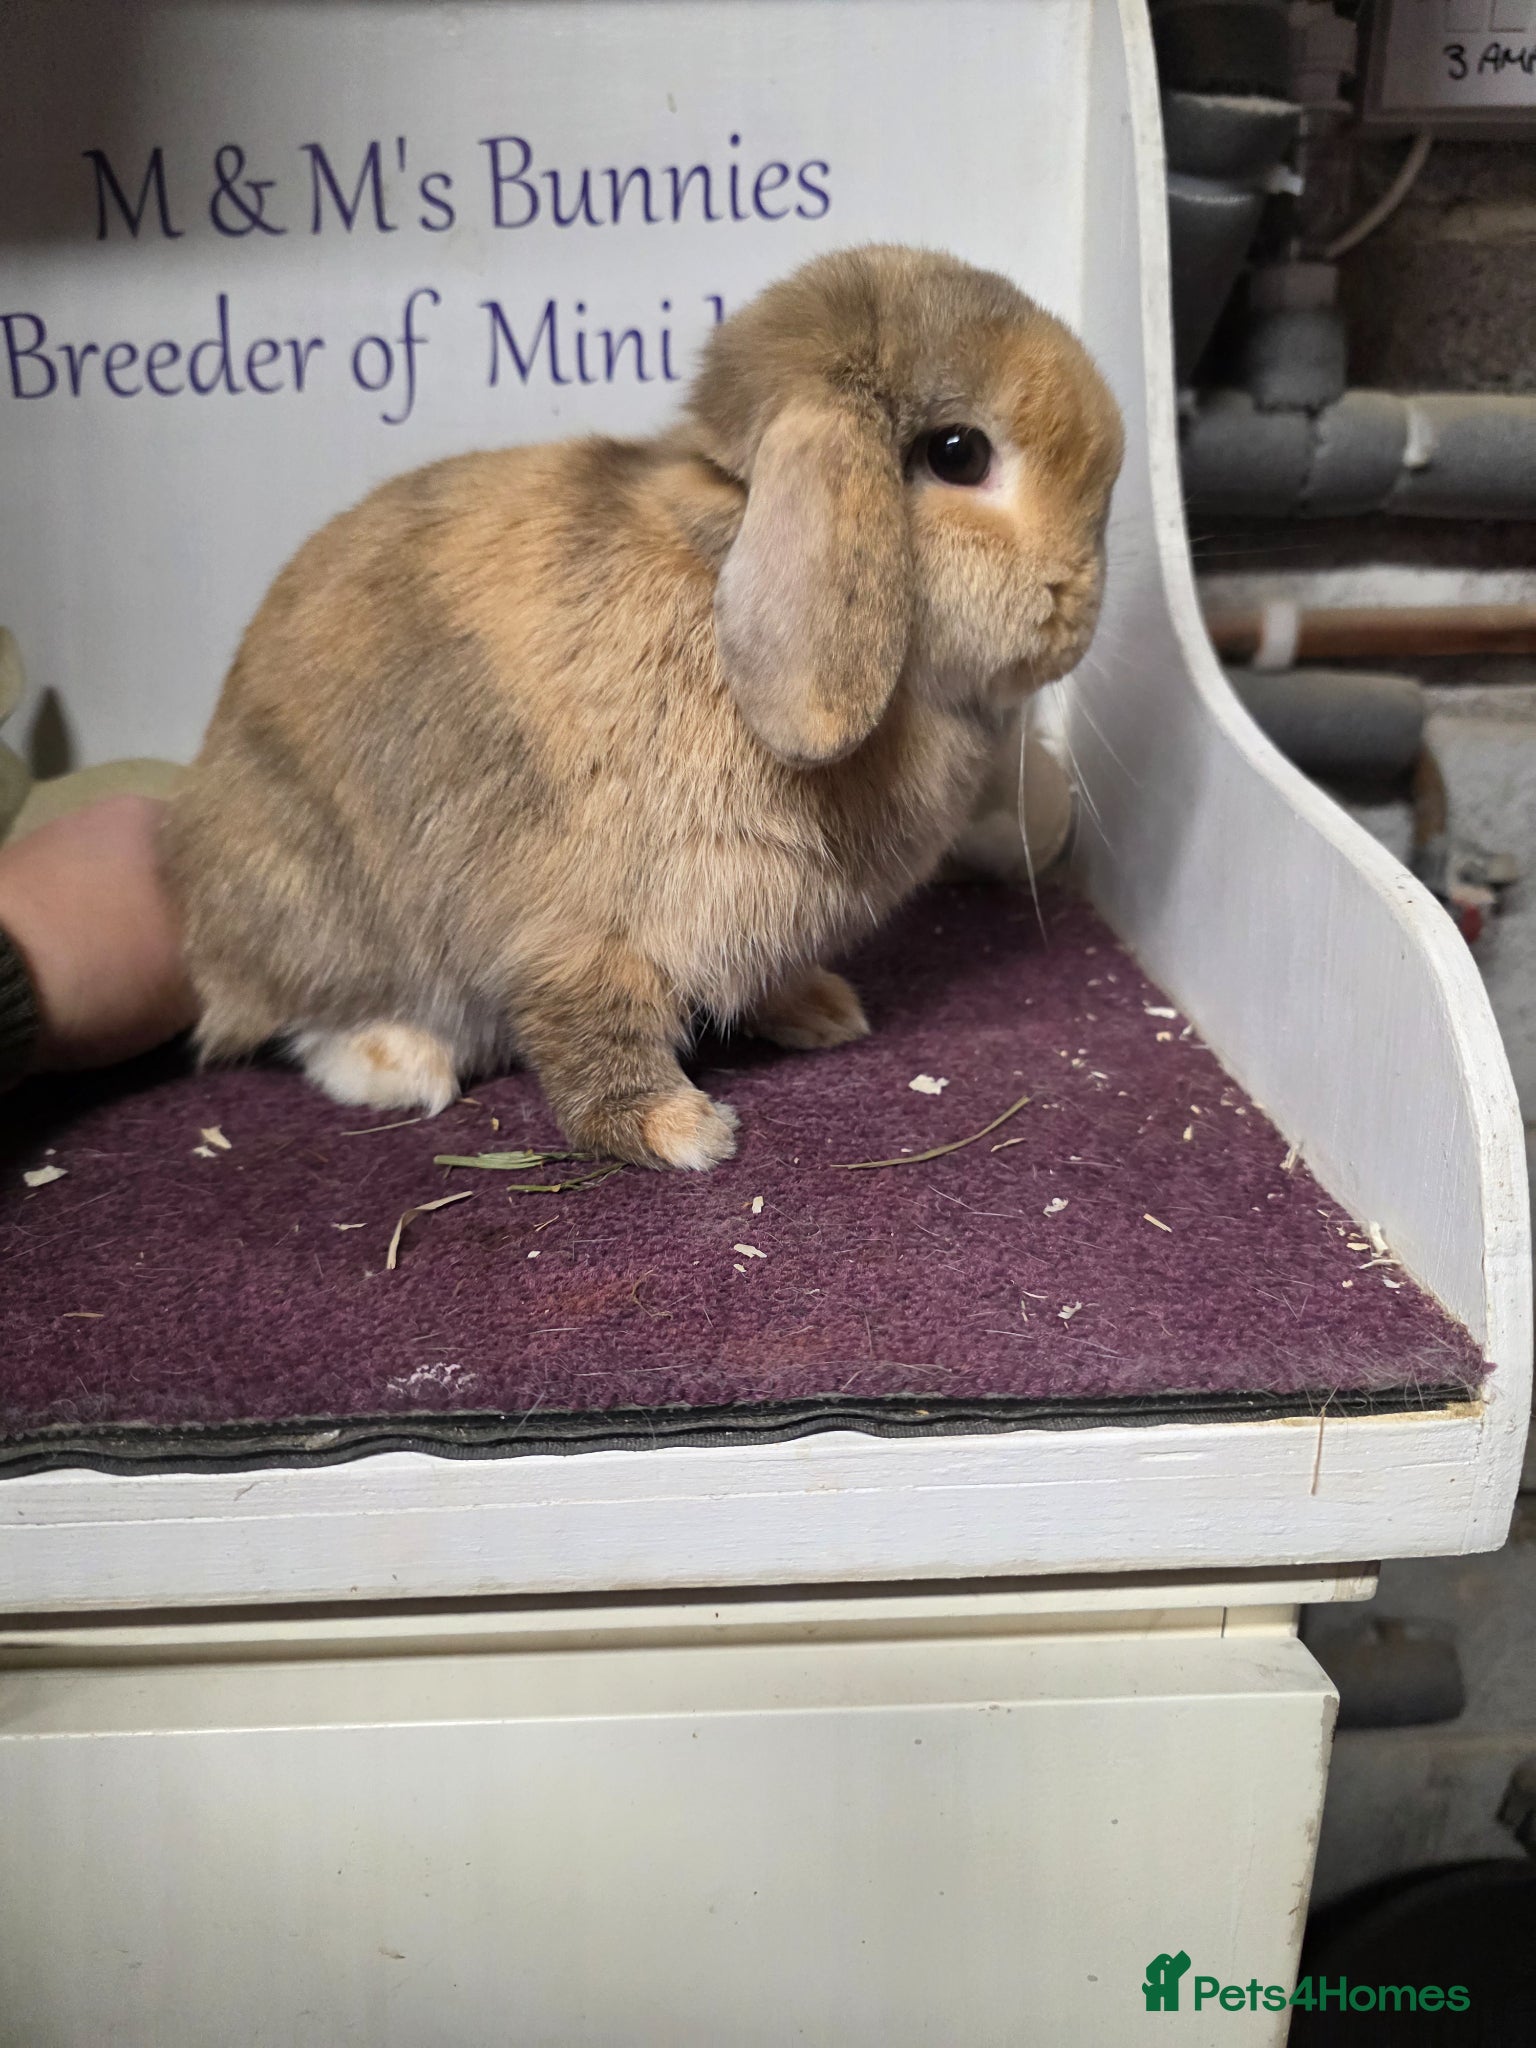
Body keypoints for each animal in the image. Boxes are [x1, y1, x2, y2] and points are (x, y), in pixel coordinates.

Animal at [164, 244, 1122, 1170]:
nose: (1080, 609)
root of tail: (203, 934)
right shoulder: (582, 924)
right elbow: (592, 1027)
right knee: (304, 1019)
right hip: (314, 901)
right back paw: (402, 1064)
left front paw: (819, 1012)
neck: (719, 565)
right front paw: (679, 1132)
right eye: (960, 453)